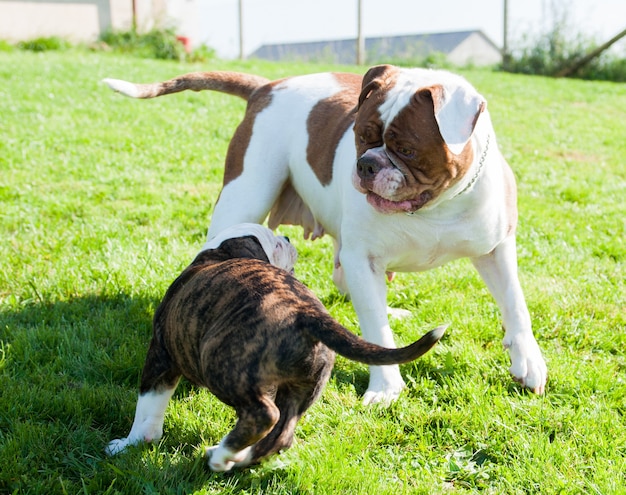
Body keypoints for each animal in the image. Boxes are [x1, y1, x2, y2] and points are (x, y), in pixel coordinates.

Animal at [106, 223, 444, 470]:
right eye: (277, 245)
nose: (286, 236)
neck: (218, 253)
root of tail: (306, 313)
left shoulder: (160, 355)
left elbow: (148, 406)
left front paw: (130, 443)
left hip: (222, 365)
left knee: (264, 415)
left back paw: (221, 457)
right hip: (304, 386)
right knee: (282, 433)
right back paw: (233, 457)